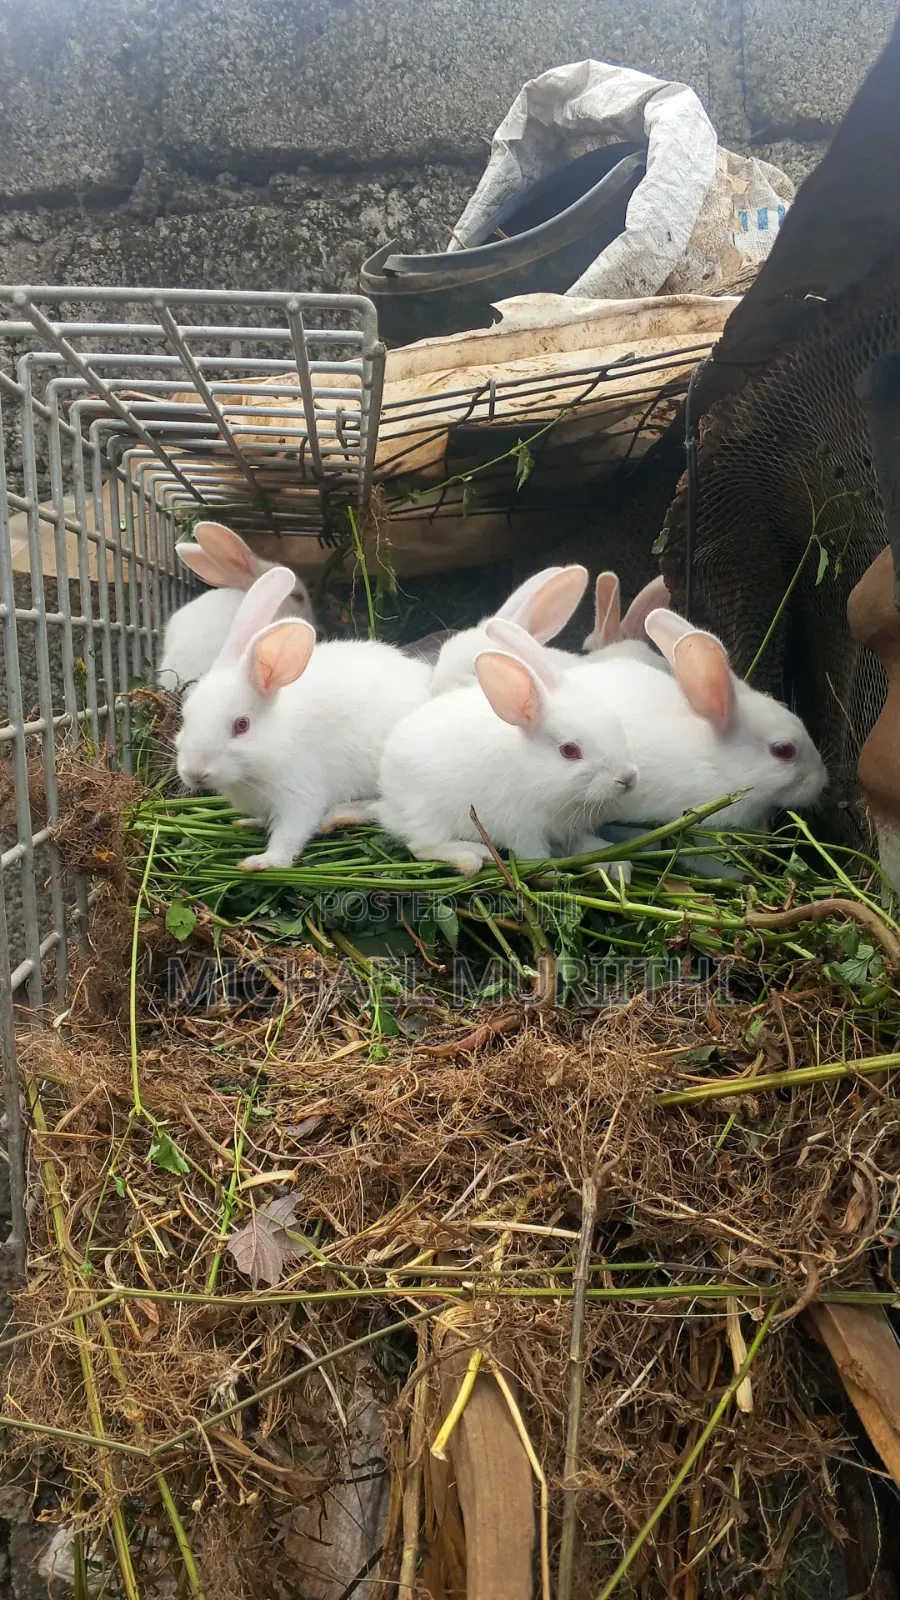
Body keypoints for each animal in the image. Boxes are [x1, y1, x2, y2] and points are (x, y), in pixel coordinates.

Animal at [175, 566, 432, 871]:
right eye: (185, 717)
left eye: (241, 725)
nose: (195, 773)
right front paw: (248, 822)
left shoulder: (299, 796)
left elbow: (289, 837)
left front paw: (262, 862)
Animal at [369, 618, 638, 879]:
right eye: (569, 751)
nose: (627, 779)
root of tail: (386, 798)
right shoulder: (522, 829)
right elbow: (536, 857)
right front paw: (553, 876)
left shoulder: (566, 830)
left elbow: (584, 845)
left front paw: (616, 865)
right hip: (428, 814)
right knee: (421, 846)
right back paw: (471, 856)